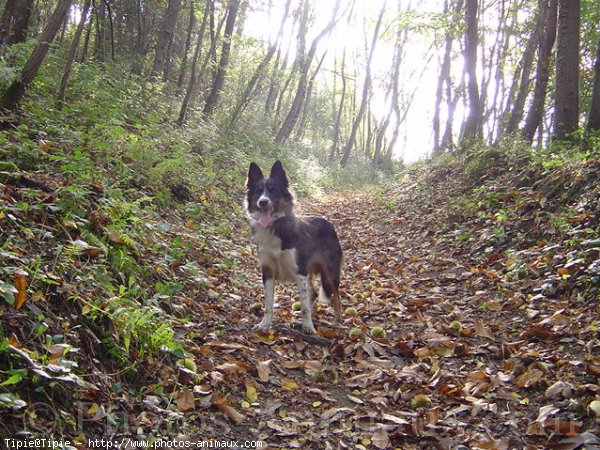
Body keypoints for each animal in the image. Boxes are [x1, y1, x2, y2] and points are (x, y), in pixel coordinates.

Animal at [245, 162, 342, 334]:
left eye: (273, 190)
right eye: (258, 191)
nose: (263, 202)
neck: (276, 227)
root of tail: (329, 224)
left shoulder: (300, 272)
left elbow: (304, 306)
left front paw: (308, 326)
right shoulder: (268, 271)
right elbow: (268, 303)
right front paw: (265, 324)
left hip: (330, 272)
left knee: (335, 296)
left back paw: (336, 320)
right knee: (314, 293)